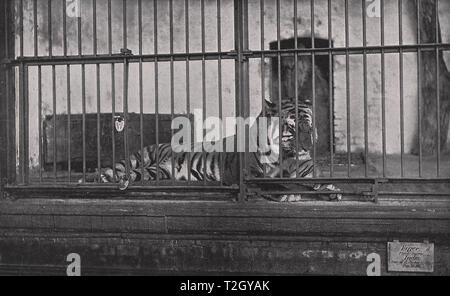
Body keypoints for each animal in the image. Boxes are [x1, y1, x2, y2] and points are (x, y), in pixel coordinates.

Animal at [82, 97, 342, 201]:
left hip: (158, 172)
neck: (285, 156)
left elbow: (313, 181)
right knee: (115, 171)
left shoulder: (306, 171)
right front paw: (289, 193)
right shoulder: (251, 175)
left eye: (309, 126)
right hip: (139, 161)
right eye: (291, 127)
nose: (308, 145)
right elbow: (278, 184)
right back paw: (93, 180)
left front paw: (331, 189)